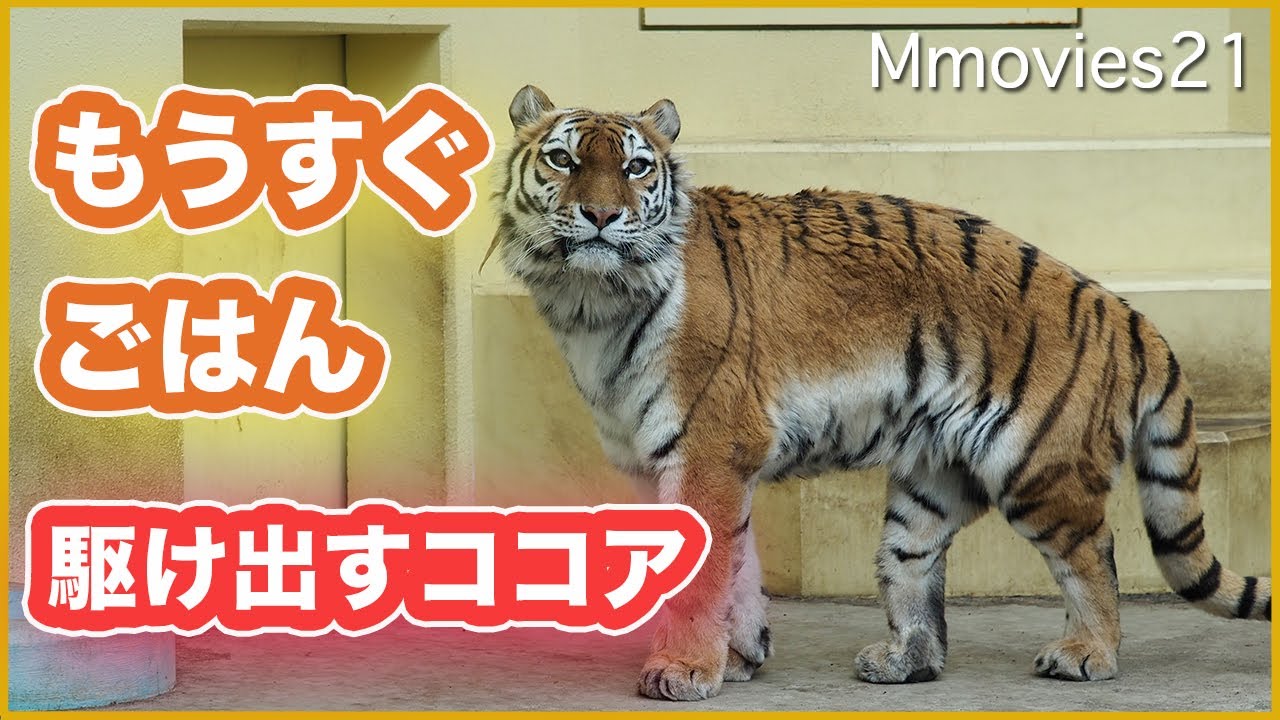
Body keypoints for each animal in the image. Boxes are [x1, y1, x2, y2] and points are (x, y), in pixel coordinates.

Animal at [489, 84, 1272, 701]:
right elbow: (735, 561)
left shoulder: (709, 448)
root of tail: (1122, 310)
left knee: (1094, 552)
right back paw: (904, 659)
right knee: (916, 567)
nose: (600, 216)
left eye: (634, 166)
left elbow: (703, 572)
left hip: (1037, 466)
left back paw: (1087, 654)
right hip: (929, 481)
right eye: (563, 160)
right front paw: (741, 653)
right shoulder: (680, 458)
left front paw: (684, 670)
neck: (590, 302)